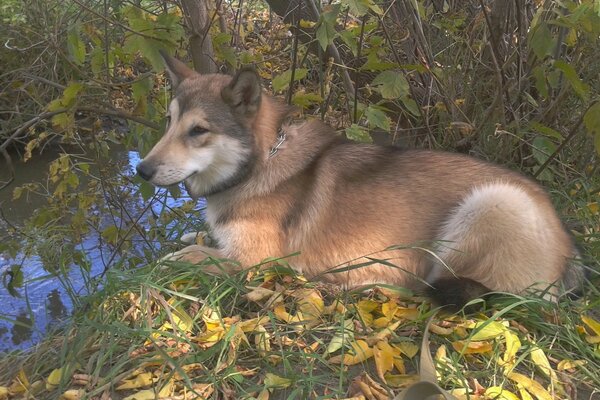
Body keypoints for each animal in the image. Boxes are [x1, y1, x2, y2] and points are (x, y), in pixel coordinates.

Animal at [137, 53, 584, 308]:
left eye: (199, 131)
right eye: (169, 121)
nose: (141, 170)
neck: (262, 163)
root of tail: (568, 252)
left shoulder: (252, 262)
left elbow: (186, 257)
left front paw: (169, 257)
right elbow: (195, 239)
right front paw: (187, 236)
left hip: (490, 205)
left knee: (432, 285)